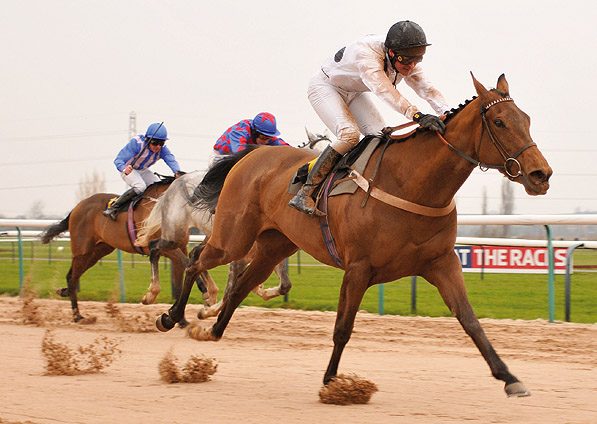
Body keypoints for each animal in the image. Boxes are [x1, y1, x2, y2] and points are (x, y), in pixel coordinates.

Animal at [39, 177, 214, 326]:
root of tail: (77, 207)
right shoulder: (158, 245)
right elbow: (187, 263)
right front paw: (206, 292)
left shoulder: (179, 245)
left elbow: (180, 279)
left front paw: (181, 320)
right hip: (83, 250)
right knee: (72, 277)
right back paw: (77, 315)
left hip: (98, 251)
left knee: (72, 276)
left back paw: (65, 294)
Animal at [155, 75, 548, 398]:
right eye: (499, 122)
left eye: (527, 120)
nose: (541, 174)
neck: (411, 184)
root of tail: (253, 153)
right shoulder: (359, 268)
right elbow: (343, 327)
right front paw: (333, 384)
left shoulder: (441, 262)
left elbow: (470, 321)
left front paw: (510, 378)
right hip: (234, 235)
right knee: (196, 259)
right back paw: (172, 316)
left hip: (273, 246)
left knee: (239, 286)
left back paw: (211, 330)